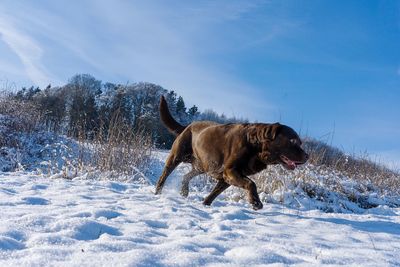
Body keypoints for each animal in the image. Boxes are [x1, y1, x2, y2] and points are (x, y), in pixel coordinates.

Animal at [155, 95, 308, 210]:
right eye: (293, 141)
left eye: (300, 142)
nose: (307, 156)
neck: (255, 146)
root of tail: (188, 125)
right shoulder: (230, 171)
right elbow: (251, 183)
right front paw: (256, 202)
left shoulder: (226, 178)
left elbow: (213, 194)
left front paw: (205, 205)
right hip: (176, 157)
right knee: (164, 175)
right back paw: (157, 192)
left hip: (202, 166)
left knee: (186, 176)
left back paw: (184, 191)